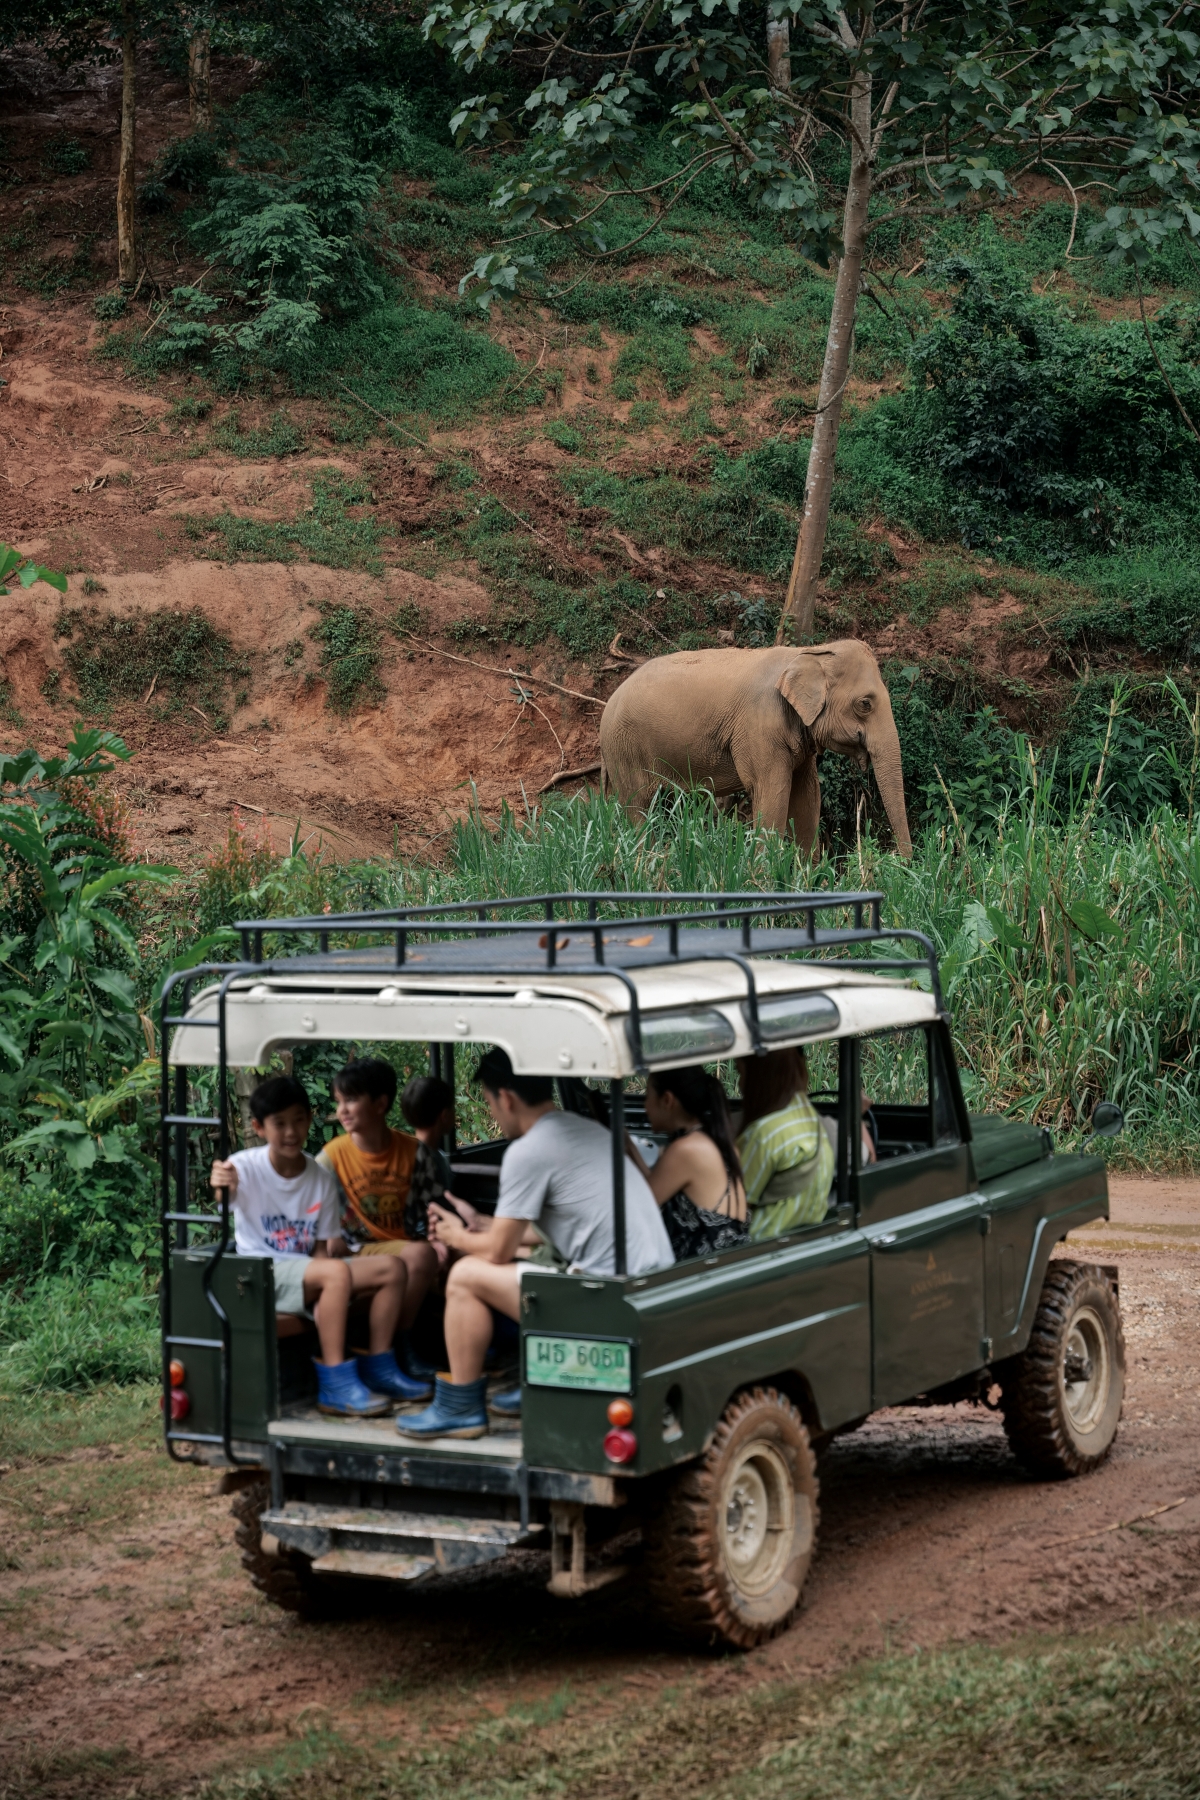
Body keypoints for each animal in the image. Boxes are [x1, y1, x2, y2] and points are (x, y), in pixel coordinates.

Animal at [599, 640, 912, 855]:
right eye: (865, 704)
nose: (902, 864)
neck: (809, 651)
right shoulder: (759, 728)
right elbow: (773, 792)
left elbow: (808, 796)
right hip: (623, 749)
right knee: (638, 807)